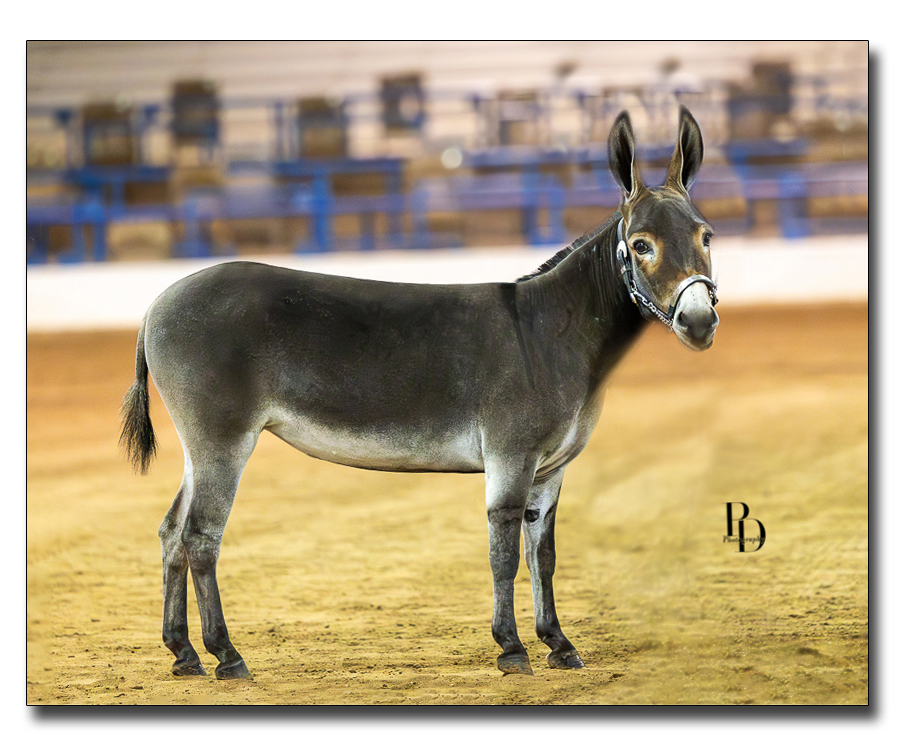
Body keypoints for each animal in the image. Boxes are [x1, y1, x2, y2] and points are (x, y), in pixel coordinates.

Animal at [120, 106, 718, 679]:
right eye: (640, 245)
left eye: (706, 237)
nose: (700, 321)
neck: (549, 331)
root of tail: (157, 303)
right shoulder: (512, 457)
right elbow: (503, 552)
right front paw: (512, 649)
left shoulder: (551, 468)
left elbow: (542, 555)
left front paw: (559, 644)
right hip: (222, 441)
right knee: (201, 537)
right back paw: (226, 656)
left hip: (200, 448)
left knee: (171, 532)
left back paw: (184, 654)